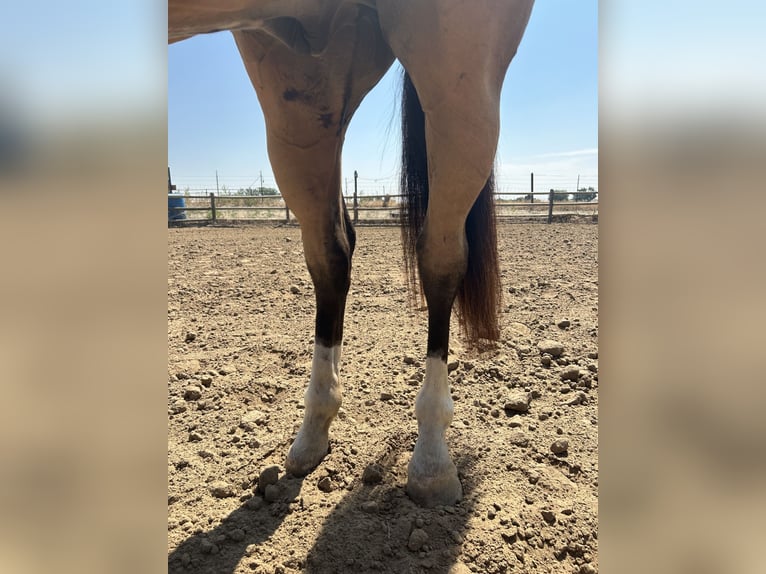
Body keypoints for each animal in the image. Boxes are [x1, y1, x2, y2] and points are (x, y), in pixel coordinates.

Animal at [171, 0, 536, 508]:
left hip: (455, 64)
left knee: (440, 258)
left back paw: (431, 460)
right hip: (304, 90)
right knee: (332, 254)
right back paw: (313, 432)